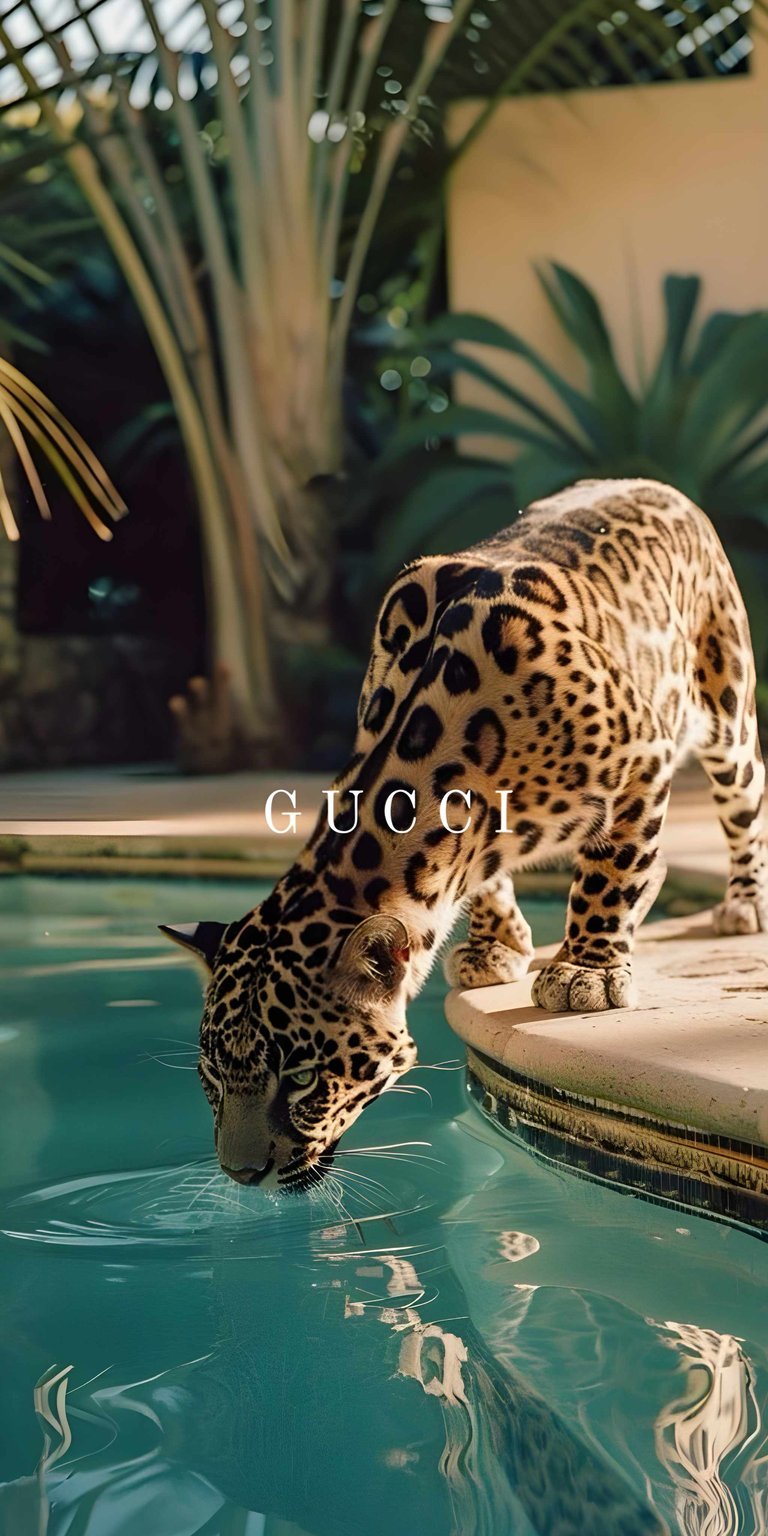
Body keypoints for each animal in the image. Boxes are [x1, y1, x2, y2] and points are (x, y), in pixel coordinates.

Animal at [162, 478, 767, 1190]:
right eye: (212, 1074)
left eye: (304, 1078)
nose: (240, 1174)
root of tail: (653, 484)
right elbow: (486, 878)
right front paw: (497, 945)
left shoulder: (642, 755)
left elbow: (609, 871)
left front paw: (587, 969)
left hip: (725, 713)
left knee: (744, 803)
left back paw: (743, 904)